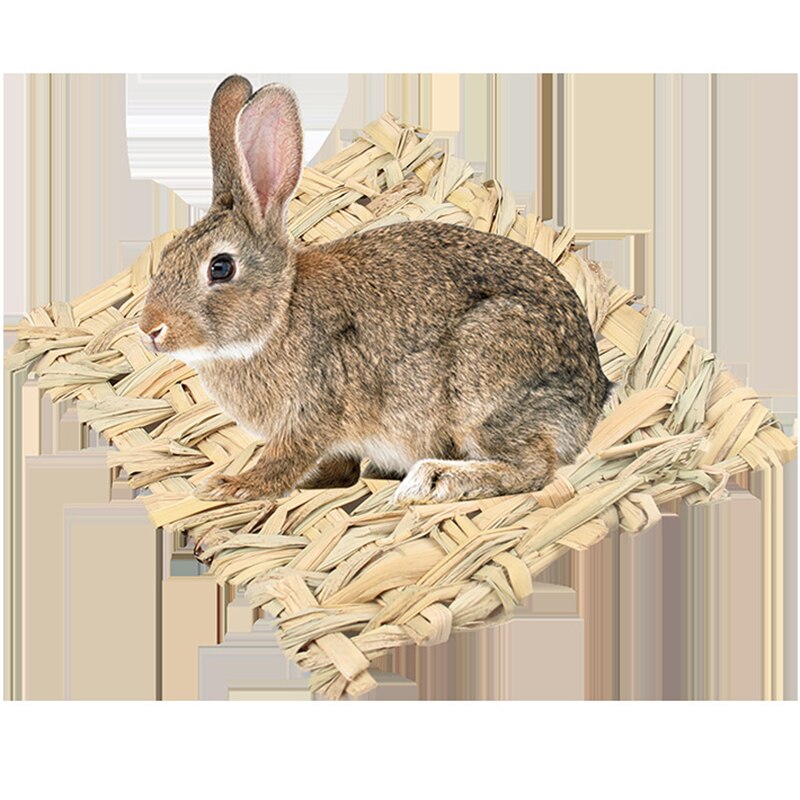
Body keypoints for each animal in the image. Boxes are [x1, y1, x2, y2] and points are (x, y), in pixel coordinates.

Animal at [138, 74, 614, 506]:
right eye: (167, 255)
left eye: (220, 268)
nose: (150, 330)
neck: (279, 315)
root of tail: (592, 397)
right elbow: (337, 467)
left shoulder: (313, 413)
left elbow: (285, 460)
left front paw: (232, 486)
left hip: (485, 381)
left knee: (533, 468)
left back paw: (433, 480)